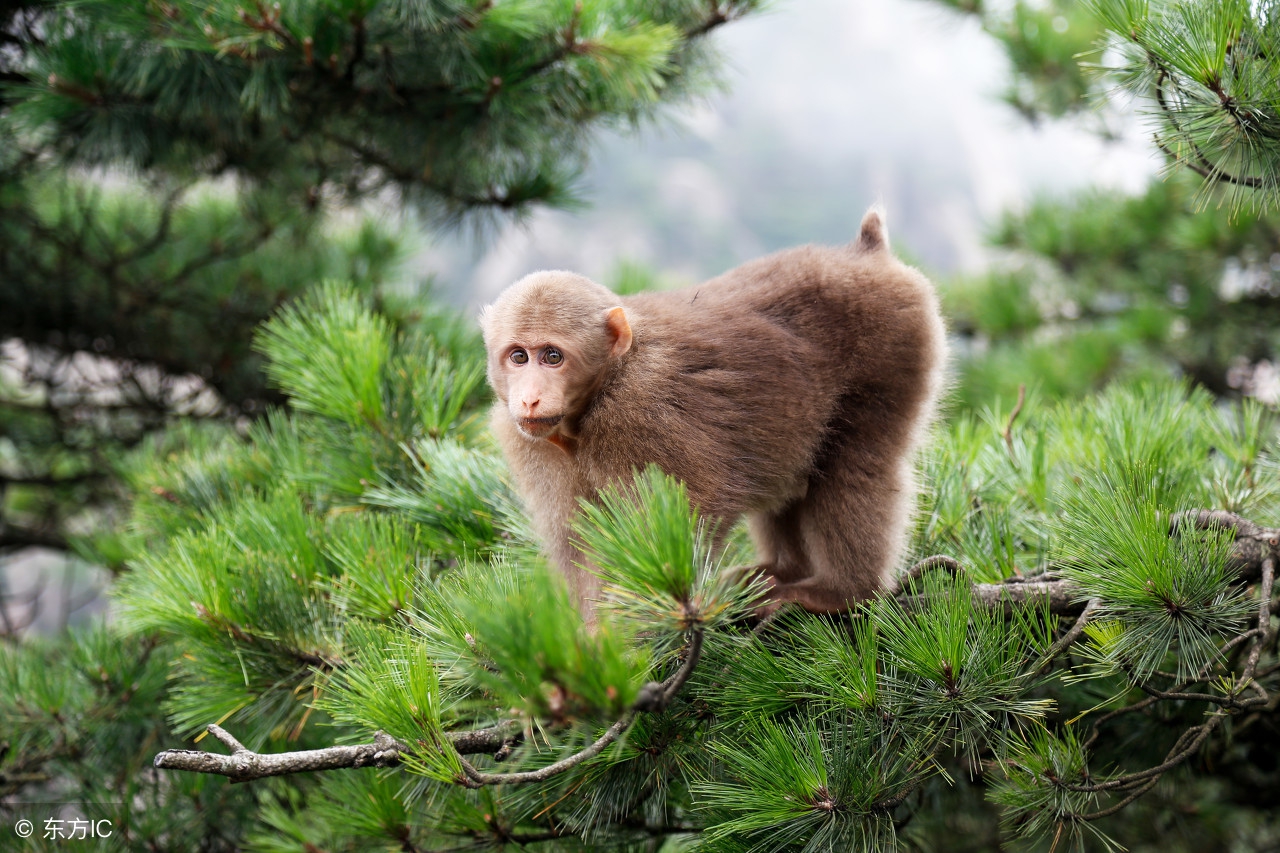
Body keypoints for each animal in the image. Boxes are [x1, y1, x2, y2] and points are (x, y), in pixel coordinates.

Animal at [483, 206, 947, 614]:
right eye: (519, 357)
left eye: (553, 357)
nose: (529, 398)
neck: (605, 387)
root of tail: (865, 252)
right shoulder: (530, 441)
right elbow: (579, 541)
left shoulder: (642, 417)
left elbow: (683, 519)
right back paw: (782, 572)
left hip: (892, 350)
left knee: (854, 466)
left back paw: (843, 593)